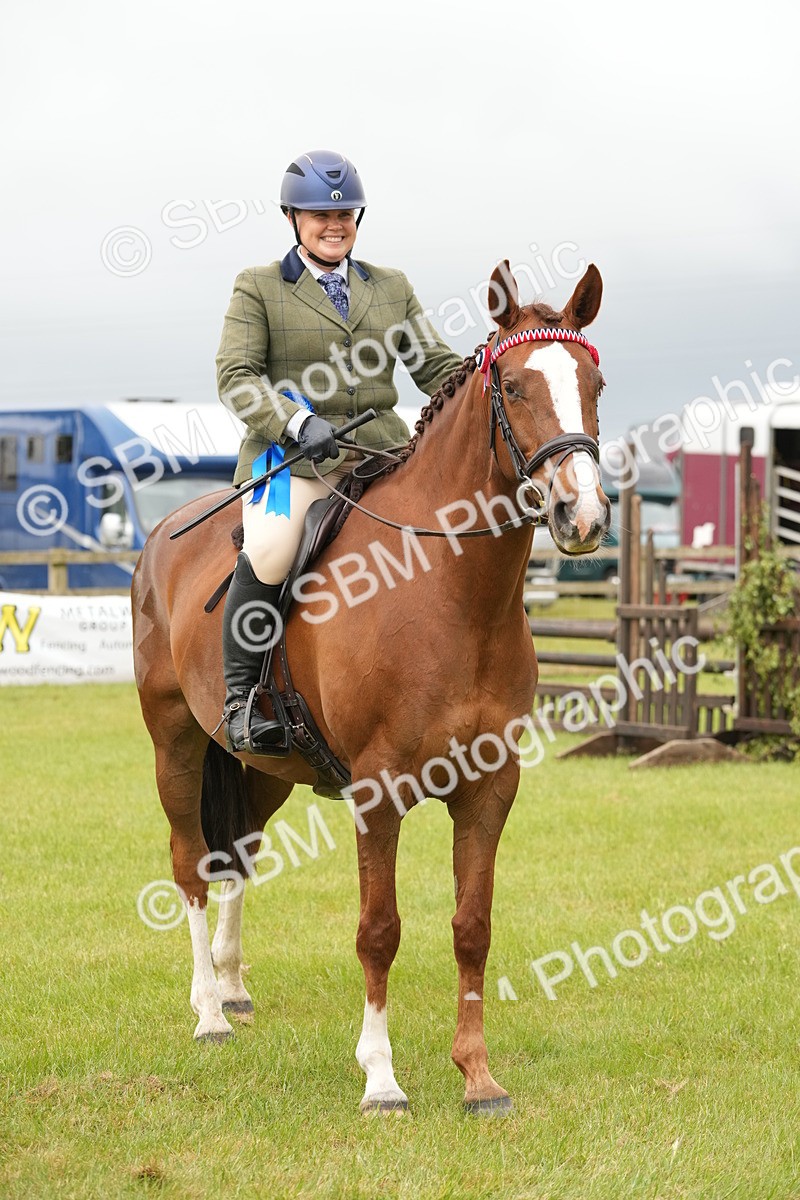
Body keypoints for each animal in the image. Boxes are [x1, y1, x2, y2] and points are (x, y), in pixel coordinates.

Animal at [131, 260, 610, 1115]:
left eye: (595, 382)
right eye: (514, 386)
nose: (579, 514)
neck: (450, 588)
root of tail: (163, 536)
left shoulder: (490, 786)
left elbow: (472, 925)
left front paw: (478, 1077)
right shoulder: (378, 790)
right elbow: (379, 930)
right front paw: (382, 1079)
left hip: (264, 767)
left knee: (237, 857)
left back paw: (232, 987)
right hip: (175, 743)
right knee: (190, 863)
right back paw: (209, 1012)